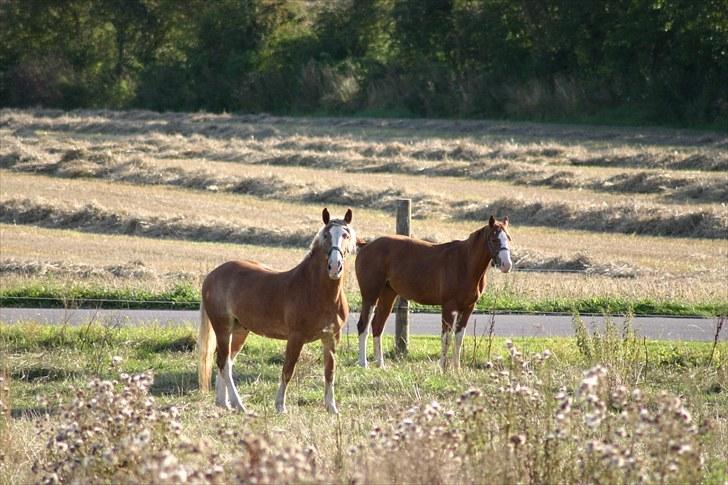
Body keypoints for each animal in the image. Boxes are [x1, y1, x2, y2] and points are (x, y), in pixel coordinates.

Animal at [198, 207, 356, 412]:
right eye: (326, 235)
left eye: (346, 234)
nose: (335, 266)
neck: (316, 290)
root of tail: (212, 275)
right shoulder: (296, 337)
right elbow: (288, 370)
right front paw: (280, 406)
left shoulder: (331, 338)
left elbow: (329, 372)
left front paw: (332, 408)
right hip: (223, 328)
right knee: (223, 362)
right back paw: (239, 405)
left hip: (239, 330)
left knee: (227, 363)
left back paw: (224, 403)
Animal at [356, 214, 510, 368]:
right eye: (494, 239)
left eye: (508, 238)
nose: (507, 265)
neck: (465, 263)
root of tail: (366, 246)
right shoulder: (449, 307)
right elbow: (446, 339)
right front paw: (442, 368)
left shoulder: (468, 308)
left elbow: (459, 339)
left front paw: (457, 368)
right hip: (370, 295)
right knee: (363, 325)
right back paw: (363, 363)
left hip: (388, 294)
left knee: (377, 325)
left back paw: (381, 365)